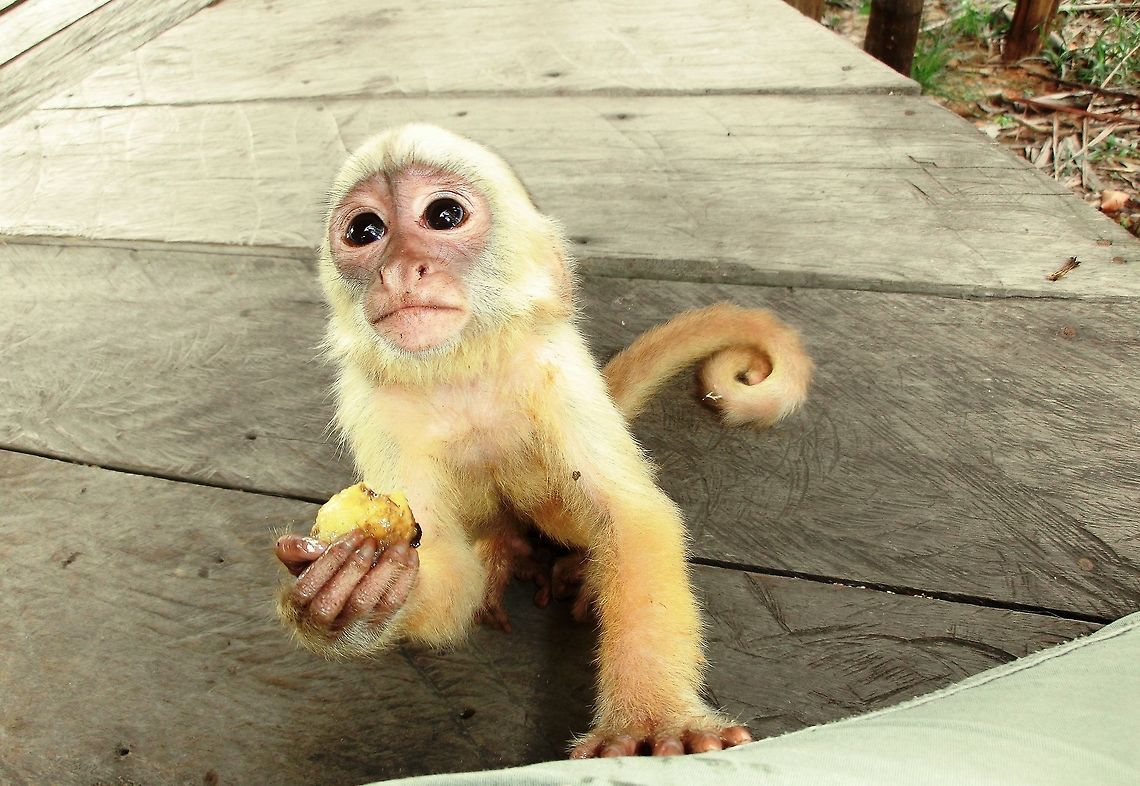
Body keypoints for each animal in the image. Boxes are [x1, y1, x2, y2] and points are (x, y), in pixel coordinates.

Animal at [274, 124, 812, 758]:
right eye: (365, 231)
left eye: (444, 215)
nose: (399, 270)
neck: (463, 371)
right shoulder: (370, 404)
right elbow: (440, 566)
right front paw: (352, 598)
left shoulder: (555, 369)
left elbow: (629, 515)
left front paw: (654, 719)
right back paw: (501, 545)